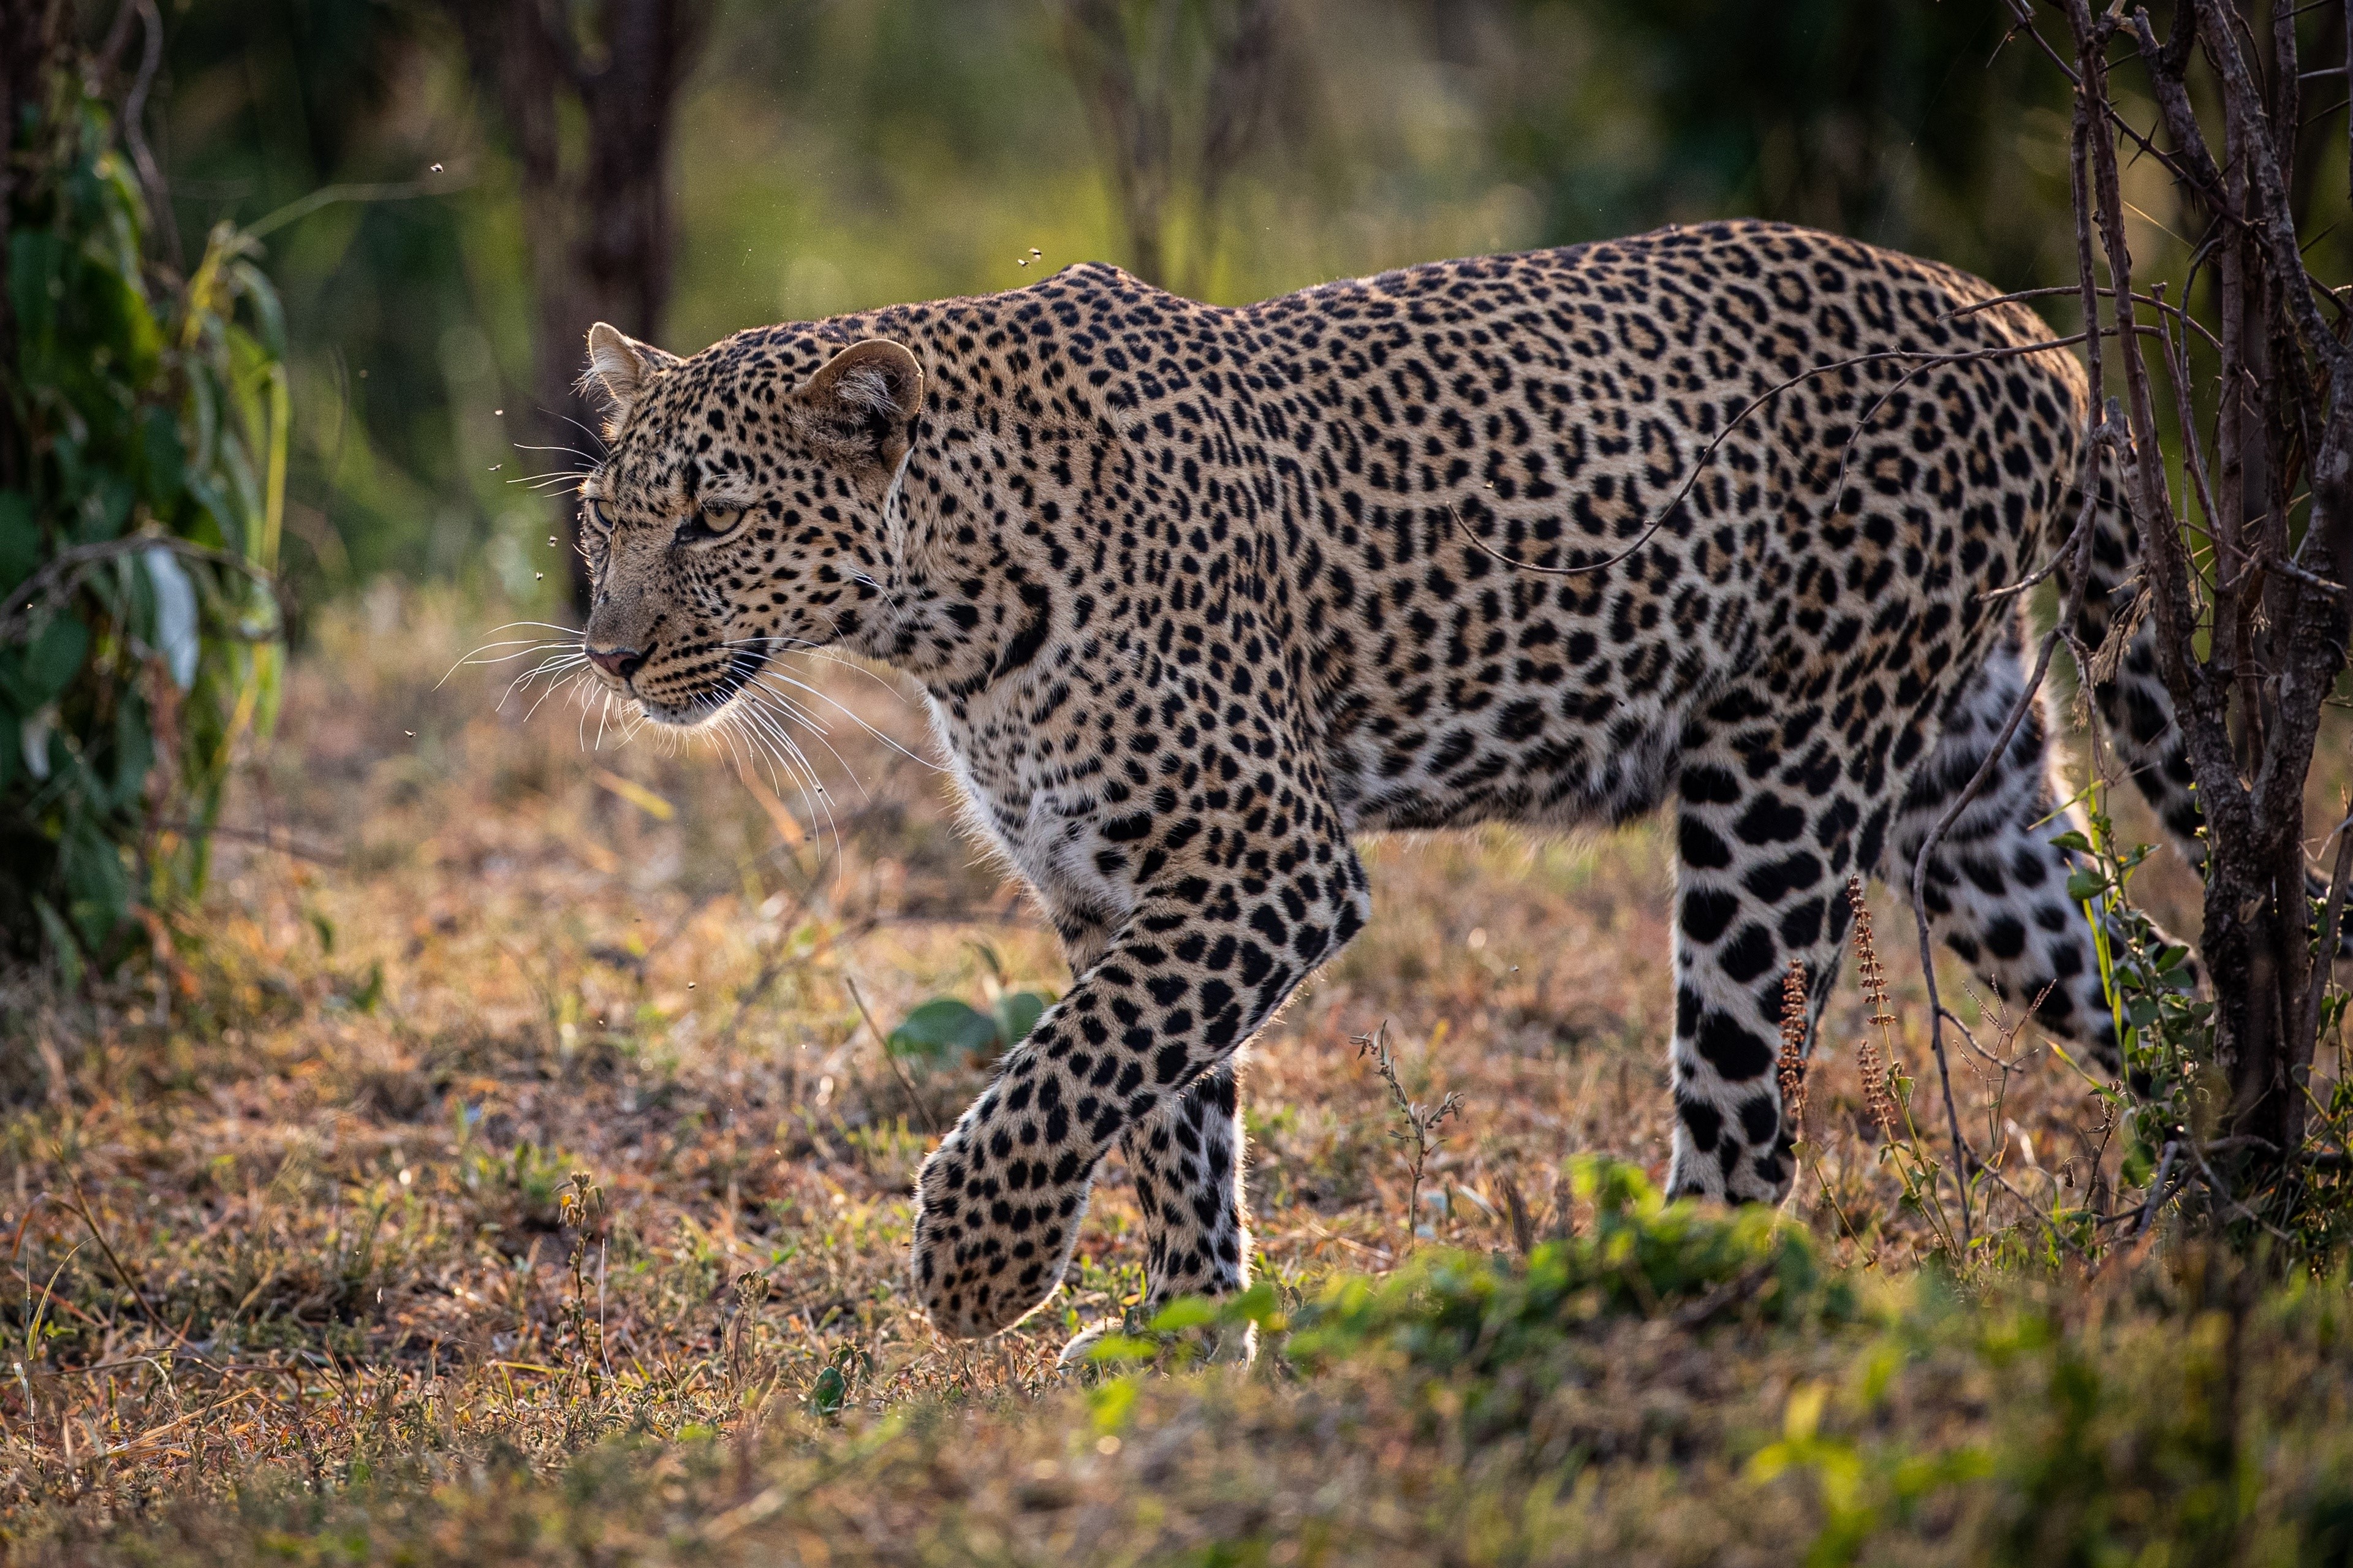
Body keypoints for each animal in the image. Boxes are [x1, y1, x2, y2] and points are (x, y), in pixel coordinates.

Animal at [570, 219, 2222, 1349]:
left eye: (715, 518)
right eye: (604, 514)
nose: (607, 650)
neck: (946, 606)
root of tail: (2037, 337)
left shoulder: (1267, 860)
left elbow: (1064, 1074)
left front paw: (981, 1265)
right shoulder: (1113, 885)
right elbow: (1166, 1120)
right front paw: (1189, 1350)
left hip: (1779, 777)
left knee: (1746, 1120)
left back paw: (1629, 1306)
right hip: (1964, 792)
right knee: (2155, 974)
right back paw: (2217, 1206)